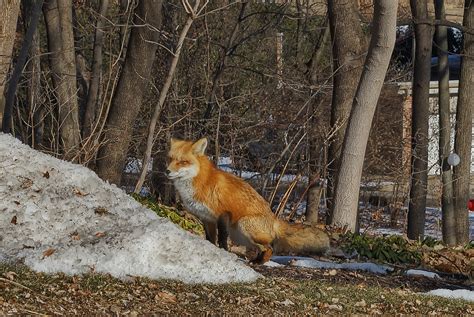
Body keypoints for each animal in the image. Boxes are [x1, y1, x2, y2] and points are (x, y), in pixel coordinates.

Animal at [168, 137, 330, 262]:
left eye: (182, 161)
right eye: (170, 159)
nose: (167, 171)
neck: (202, 181)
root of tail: (274, 218)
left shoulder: (223, 213)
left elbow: (222, 239)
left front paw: (224, 253)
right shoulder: (207, 218)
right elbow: (210, 239)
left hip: (243, 225)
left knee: (269, 248)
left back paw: (259, 262)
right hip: (239, 235)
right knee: (260, 248)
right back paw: (254, 260)